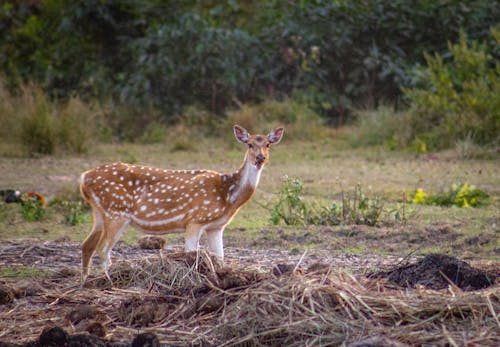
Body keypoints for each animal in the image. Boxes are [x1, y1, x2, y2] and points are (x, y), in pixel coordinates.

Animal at [79, 125, 284, 282]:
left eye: (268, 144)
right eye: (250, 144)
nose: (260, 158)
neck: (227, 195)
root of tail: (84, 178)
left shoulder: (216, 226)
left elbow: (220, 258)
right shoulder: (195, 219)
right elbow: (191, 255)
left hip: (100, 212)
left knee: (87, 245)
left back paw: (85, 280)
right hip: (116, 212)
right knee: (102, 248)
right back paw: (108, 280)